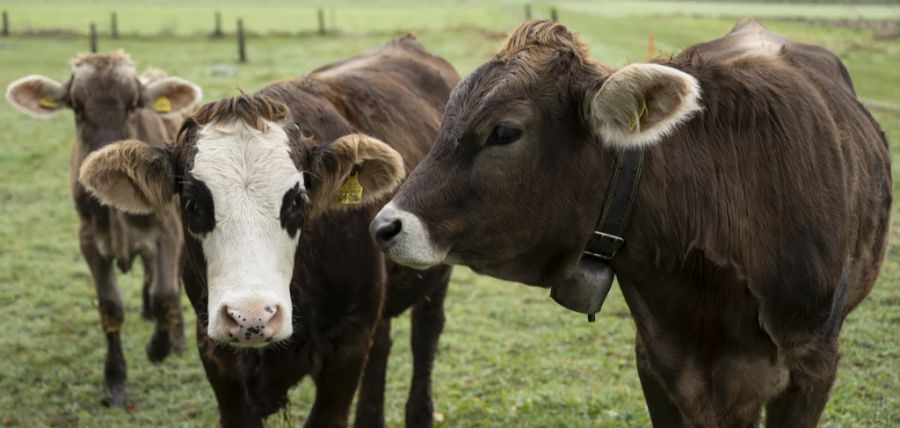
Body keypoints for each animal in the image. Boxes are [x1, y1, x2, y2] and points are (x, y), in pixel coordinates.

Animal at [5, 51, 202, 408]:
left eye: (133, 104)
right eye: (76, 107)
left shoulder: (168, 230)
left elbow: (166, 293)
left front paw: (159, 347)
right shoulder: (89, 240)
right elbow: (110, 306)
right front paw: (115, 381)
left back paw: (175, 335)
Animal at [77, 37, 458, 428]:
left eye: (297, 200)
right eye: (192, 204)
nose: (252, 315)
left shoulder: (347, 347)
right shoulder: (215, 354)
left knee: (425, 335)